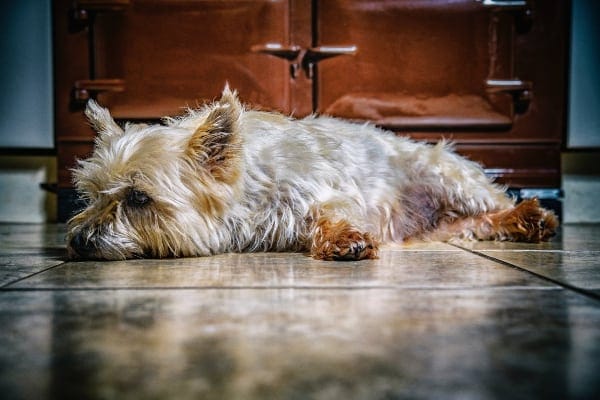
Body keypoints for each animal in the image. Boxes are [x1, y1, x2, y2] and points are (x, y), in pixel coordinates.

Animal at [67, 86, 556, 260]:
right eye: (90, 195)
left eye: (138, 198)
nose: (78, 241)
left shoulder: (326, 190)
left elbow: (329, 213)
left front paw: (346, 239)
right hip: (449, 223)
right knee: (476, 226)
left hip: (448, 175)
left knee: (496, 202)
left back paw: (533, 215)